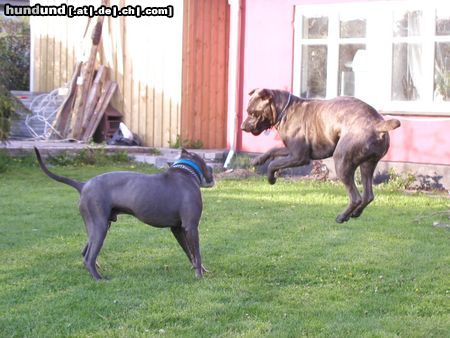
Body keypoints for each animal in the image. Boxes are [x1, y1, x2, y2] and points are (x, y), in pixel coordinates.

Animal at [34, 148, 214, 280]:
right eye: (208, 165)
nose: (213, 172)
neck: (186, 173)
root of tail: (83, 185)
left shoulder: (177, 229)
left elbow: (190, 253)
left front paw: (199, 269)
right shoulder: (191, 227)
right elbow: (197, 252)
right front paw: (199, 276)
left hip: (98, 225)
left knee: (85, 252)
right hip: (100, 227)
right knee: (89, 257)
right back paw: (99, 278)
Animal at [243, 88, 400, 223]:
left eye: (253, 113)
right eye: (248, 111)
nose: (242, 127)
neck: (284, 110)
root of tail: (377, 124)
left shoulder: (299, 156)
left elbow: (273, 164)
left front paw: (271, 179)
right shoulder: (292, 150)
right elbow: (273, 150)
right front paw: (258, 160)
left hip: (342, 161)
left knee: (356, 197)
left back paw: (342, 216)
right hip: (367, 164)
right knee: (368, 195)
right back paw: (355, 213)